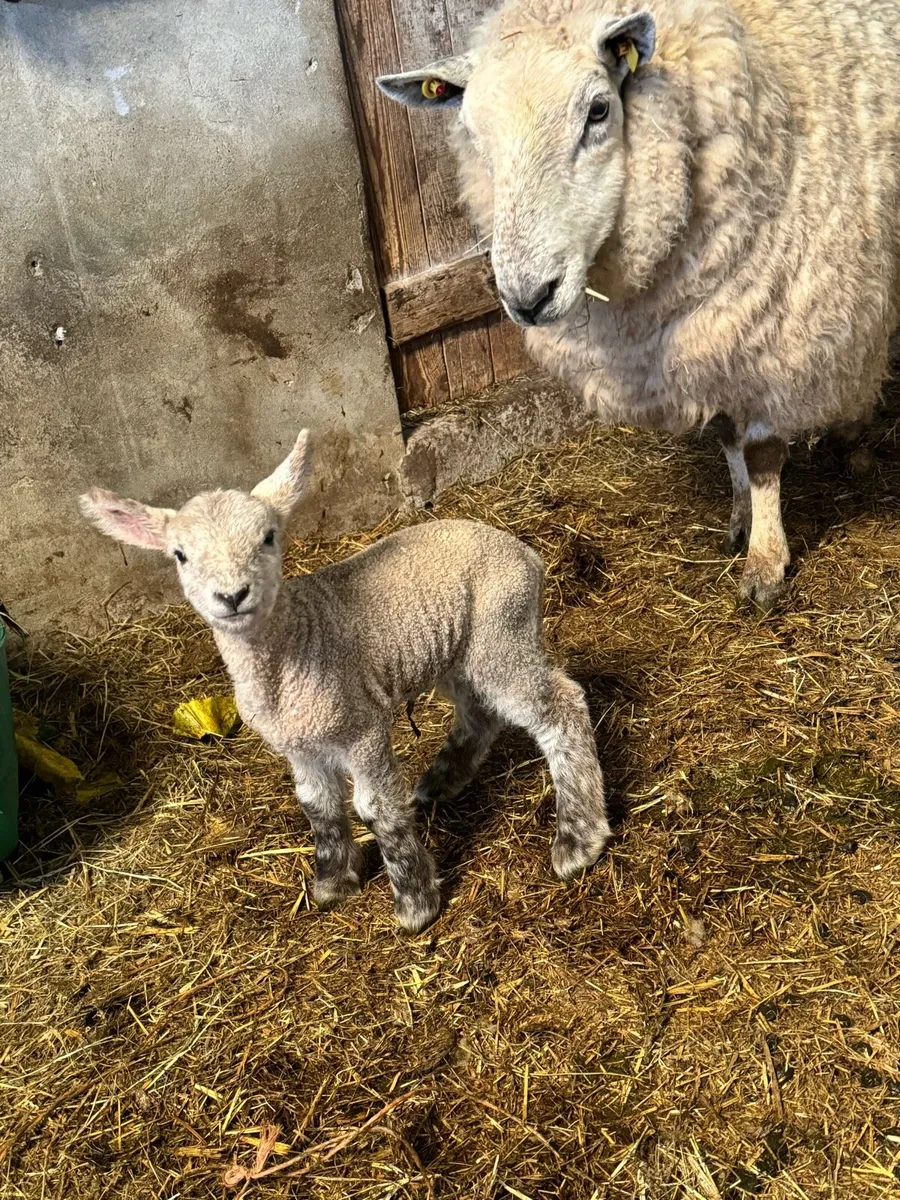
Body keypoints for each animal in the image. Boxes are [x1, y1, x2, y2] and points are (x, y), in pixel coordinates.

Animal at [78, 432, 610, 932]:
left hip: (502, 632)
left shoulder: (363, 730)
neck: (292, 649)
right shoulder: (299, 746)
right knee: (479, 712)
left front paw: (415, 902)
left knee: (560, 705)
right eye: (180, 555)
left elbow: (375, 810)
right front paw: (334, 882)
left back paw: (578, 839)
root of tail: (525, 552)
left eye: (268, 537)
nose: (232, 596)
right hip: (459, 652)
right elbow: (316, 806)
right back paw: (440, 782)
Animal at [377, 0, 900, 609]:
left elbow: (764, 454)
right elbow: (728, 437)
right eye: (472, 133)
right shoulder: (704, 339)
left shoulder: (778, 334)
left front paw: (766, 565)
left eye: (599, 110)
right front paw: (741, 519)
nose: (528, 298)